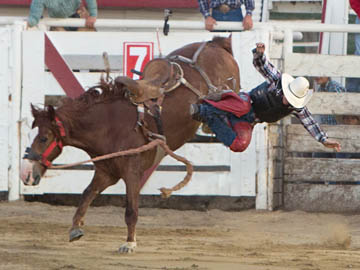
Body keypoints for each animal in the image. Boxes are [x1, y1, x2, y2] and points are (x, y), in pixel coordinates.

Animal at [19, 36, 239, 253]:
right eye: (29, 133)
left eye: (44, 138)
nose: (25, 173)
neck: (109, 125)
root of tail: (214, 43)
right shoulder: (106, 172)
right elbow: (87, 194)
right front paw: (75, 228)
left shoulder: (131, 172)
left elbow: (131, 210)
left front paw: (130, 242)